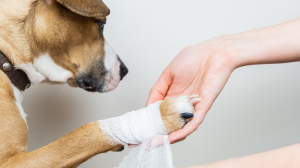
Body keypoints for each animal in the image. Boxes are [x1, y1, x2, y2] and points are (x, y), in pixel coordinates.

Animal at [0, 0, 198, 168]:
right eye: (102, 25)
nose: (124, 71)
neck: (6, 57)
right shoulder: (11, 162)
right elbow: (82, 133)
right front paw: (163, 113)